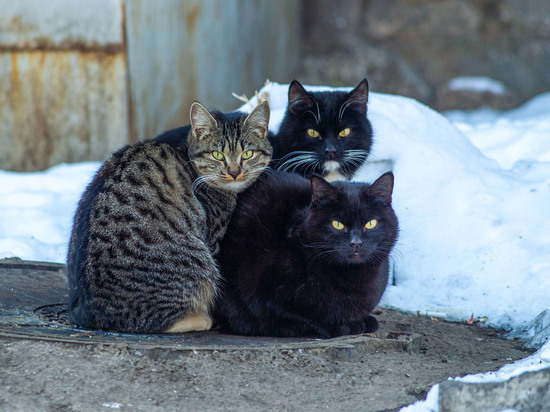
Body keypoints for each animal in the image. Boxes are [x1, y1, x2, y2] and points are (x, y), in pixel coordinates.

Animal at [67, 101, 274, 334]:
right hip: (198, 263)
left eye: (247, 154)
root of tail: (91, 313)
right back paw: (202, 318)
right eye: (217, 155)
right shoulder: (211, 240)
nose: (234, 172)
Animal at [216, 171, 402, 338]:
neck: (352, 280)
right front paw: (342, 325)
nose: (355, 242)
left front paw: (363, 320)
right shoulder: (260, 291)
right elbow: (299, 318)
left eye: (371, 223)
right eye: (337, 224)